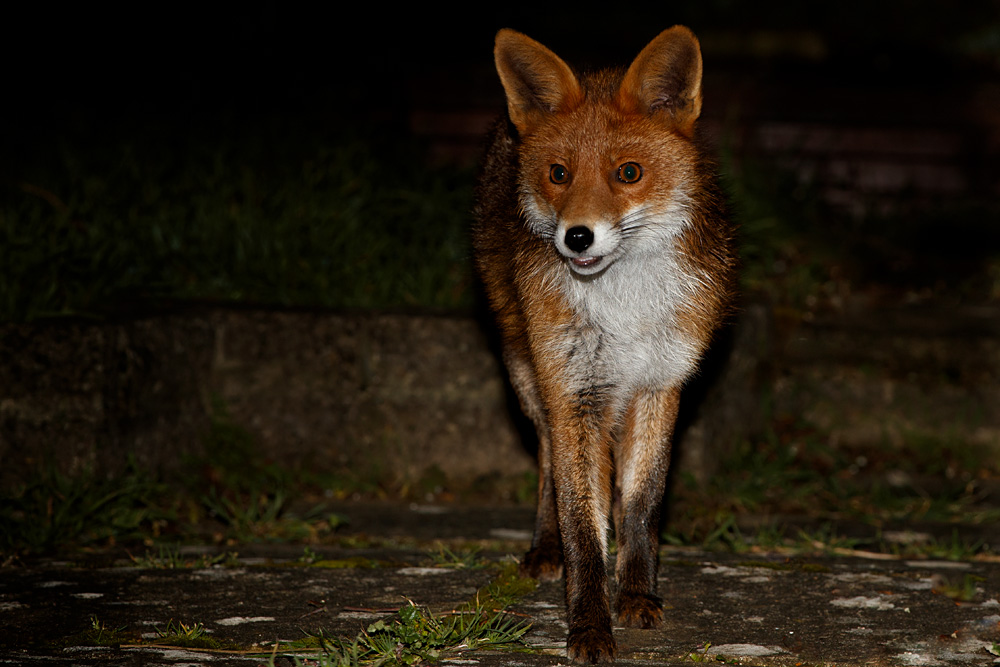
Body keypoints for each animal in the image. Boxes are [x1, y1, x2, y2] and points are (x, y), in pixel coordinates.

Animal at [472, 26, 736, 663]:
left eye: (629, 172)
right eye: (559, 174)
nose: (576, 237)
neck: (624, 309)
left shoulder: (660, 384)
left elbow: (641, 506)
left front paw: (637, 595)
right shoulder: (575, 393)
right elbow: (582, 529)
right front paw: (589, 626)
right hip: (529, 375)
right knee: (547, 460)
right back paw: (544, 549)